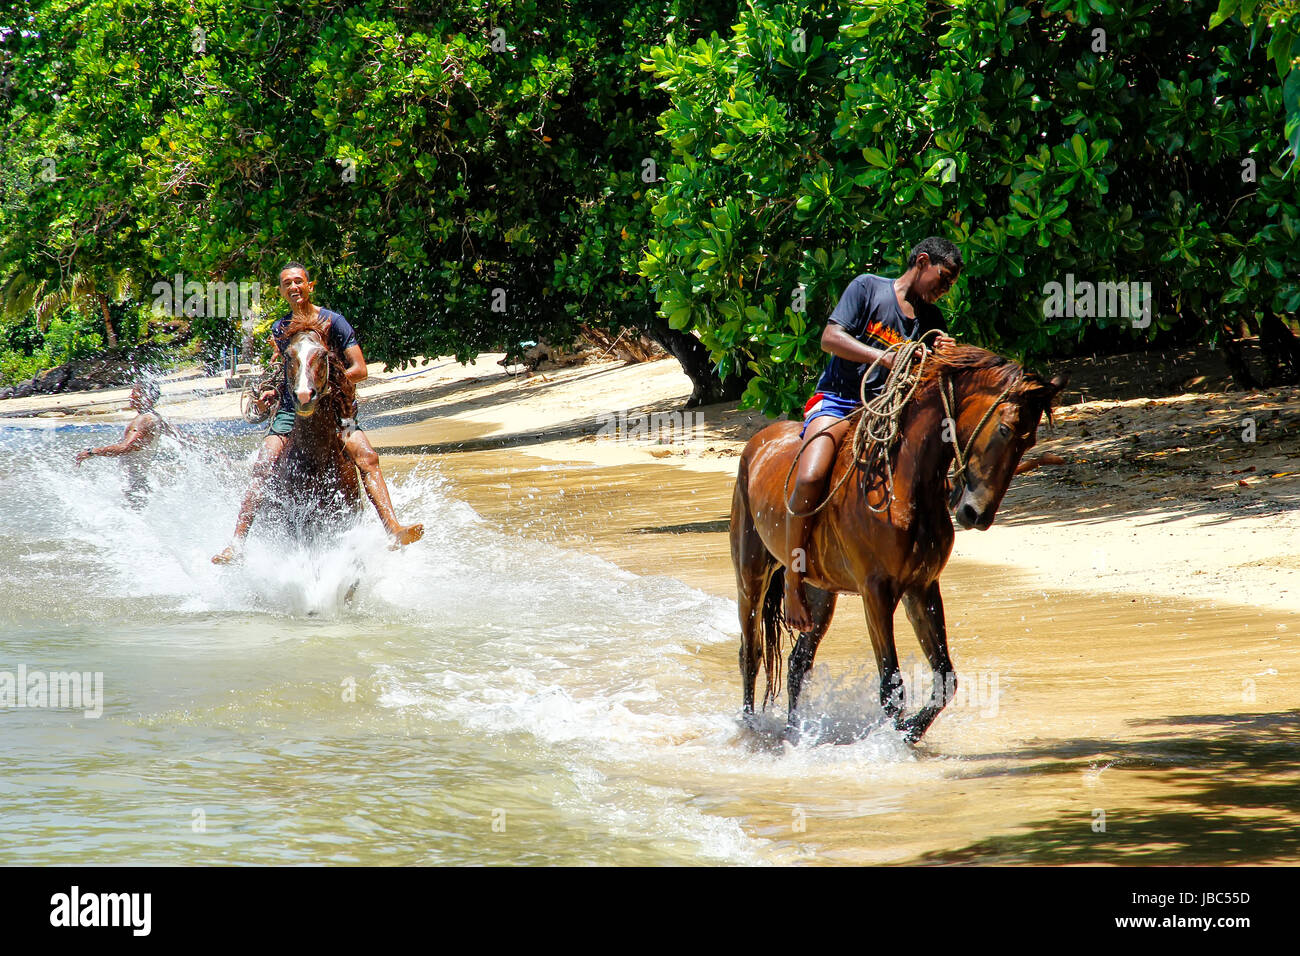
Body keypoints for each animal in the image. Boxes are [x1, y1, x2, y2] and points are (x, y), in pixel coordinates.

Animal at [728, 348, 1060, 743]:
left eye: (1030, 441)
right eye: (1005, 429)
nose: (975, 514)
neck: (901, 481)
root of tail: (756, 446)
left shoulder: (921, 587)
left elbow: (945, 677)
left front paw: (910, 733)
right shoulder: (876, 592)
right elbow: (891, 684)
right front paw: (896, 737)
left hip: (820, 594)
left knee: (798, 663)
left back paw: (795, 732)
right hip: (751, 578)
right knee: (750, 655)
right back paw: (750, 730)